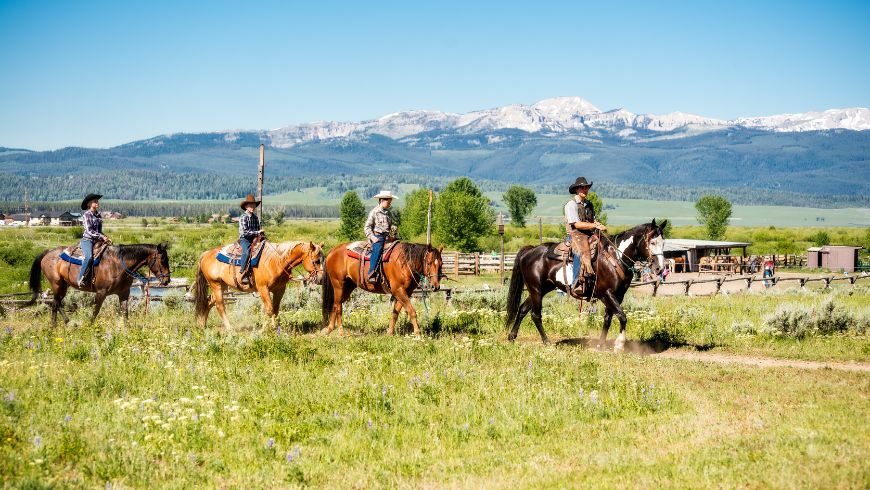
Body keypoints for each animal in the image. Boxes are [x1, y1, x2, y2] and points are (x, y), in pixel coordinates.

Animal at [192, 240, 326, 330]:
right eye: (316, 261)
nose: (321, 279)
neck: (276, 262)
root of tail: (206, 254)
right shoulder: (263, 289)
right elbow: (269, 309)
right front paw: (265, 329)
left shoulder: (280, 289)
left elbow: (275, 309)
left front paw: (275, 327)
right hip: (215, 285)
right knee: (220, 306)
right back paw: (229, 329)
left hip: (223, 285)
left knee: (209, 301)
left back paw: (202, 324)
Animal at [504, 220, 668, 350]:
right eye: (652, 242)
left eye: (663, 243)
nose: (660, 268)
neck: (615, 258)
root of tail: (530, 250)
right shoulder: (606, 293)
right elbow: (622, 316)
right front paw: (619, 344)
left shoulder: (618, 295)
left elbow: (608, 319)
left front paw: (601, 344)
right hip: (536, 289)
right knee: (535, 315)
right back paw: (546, 342)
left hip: (541, 289)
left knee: (523, 309)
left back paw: (512, 336)